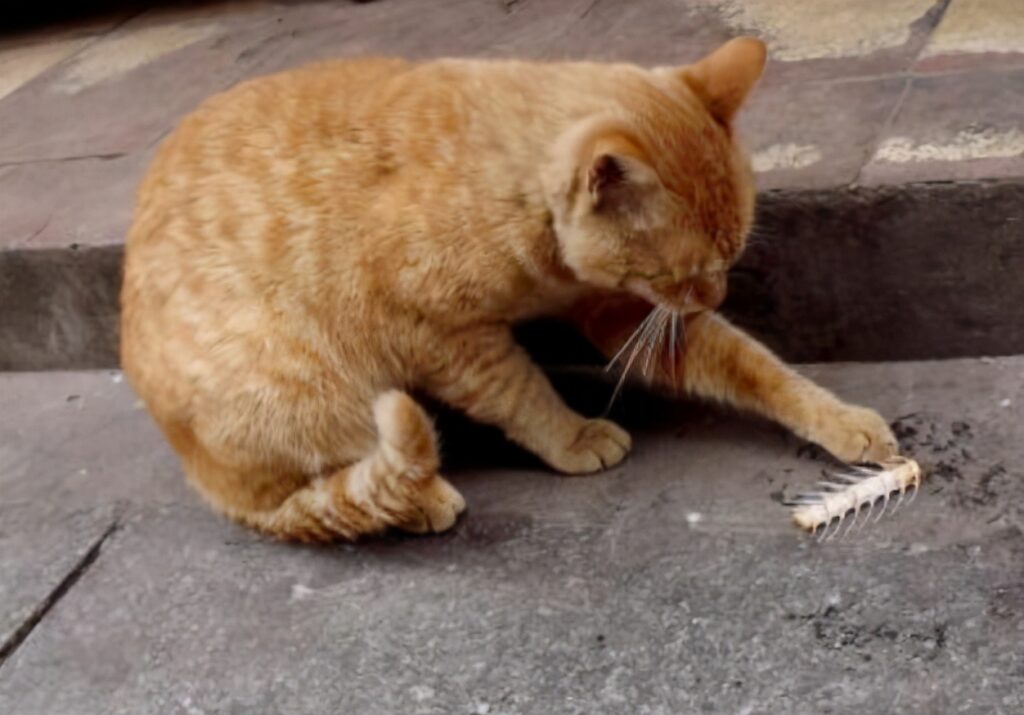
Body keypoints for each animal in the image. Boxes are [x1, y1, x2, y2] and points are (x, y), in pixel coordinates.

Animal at [119, 37, 897, 540]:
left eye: (732, 254)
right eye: (678, 274)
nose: (714, 297)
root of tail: (197, 472)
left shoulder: (620, 310)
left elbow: (753, 366)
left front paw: (838, 418)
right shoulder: (445, 336)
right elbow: (521, 393)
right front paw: (573, 435)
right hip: (307, 380)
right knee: (312, 495)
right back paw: (421, 501)